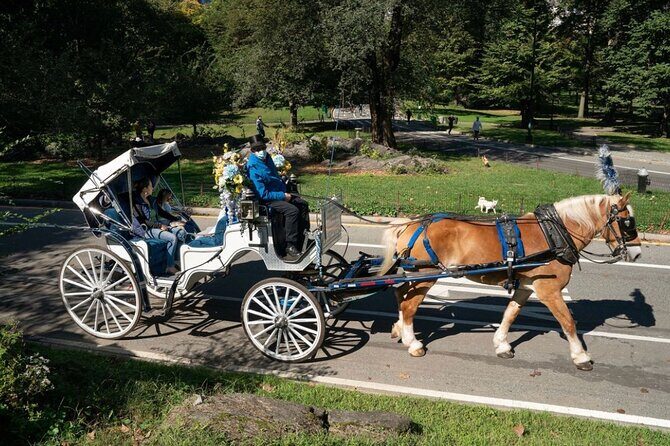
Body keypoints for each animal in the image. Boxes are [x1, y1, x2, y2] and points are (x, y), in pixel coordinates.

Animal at [379, 193, 642, 371]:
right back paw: (413, 343)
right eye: (628, 221)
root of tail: (409, 224)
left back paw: (399, 329)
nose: (637, 253)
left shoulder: (526, 288)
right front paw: (581, 356)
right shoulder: (549, 290)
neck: (554, 234)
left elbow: (510, 314)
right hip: (426, 276)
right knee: (409, 306)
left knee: (400, 293)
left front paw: (502, 344)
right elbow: (568, 322)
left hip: (417, 275)